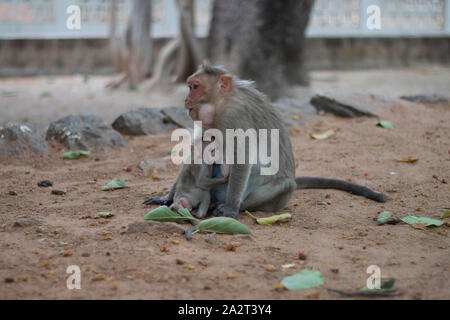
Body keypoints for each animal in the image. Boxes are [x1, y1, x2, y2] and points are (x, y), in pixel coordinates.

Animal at [143, 62, 386, 219]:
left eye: (195, 87)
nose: (186, 99)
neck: (223, 103)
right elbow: (196, 152)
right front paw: (166, 198)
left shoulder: (235, 118)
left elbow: (242, 159)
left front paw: (231, 209)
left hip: (279, 196)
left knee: (283, 185)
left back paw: (224, 206)